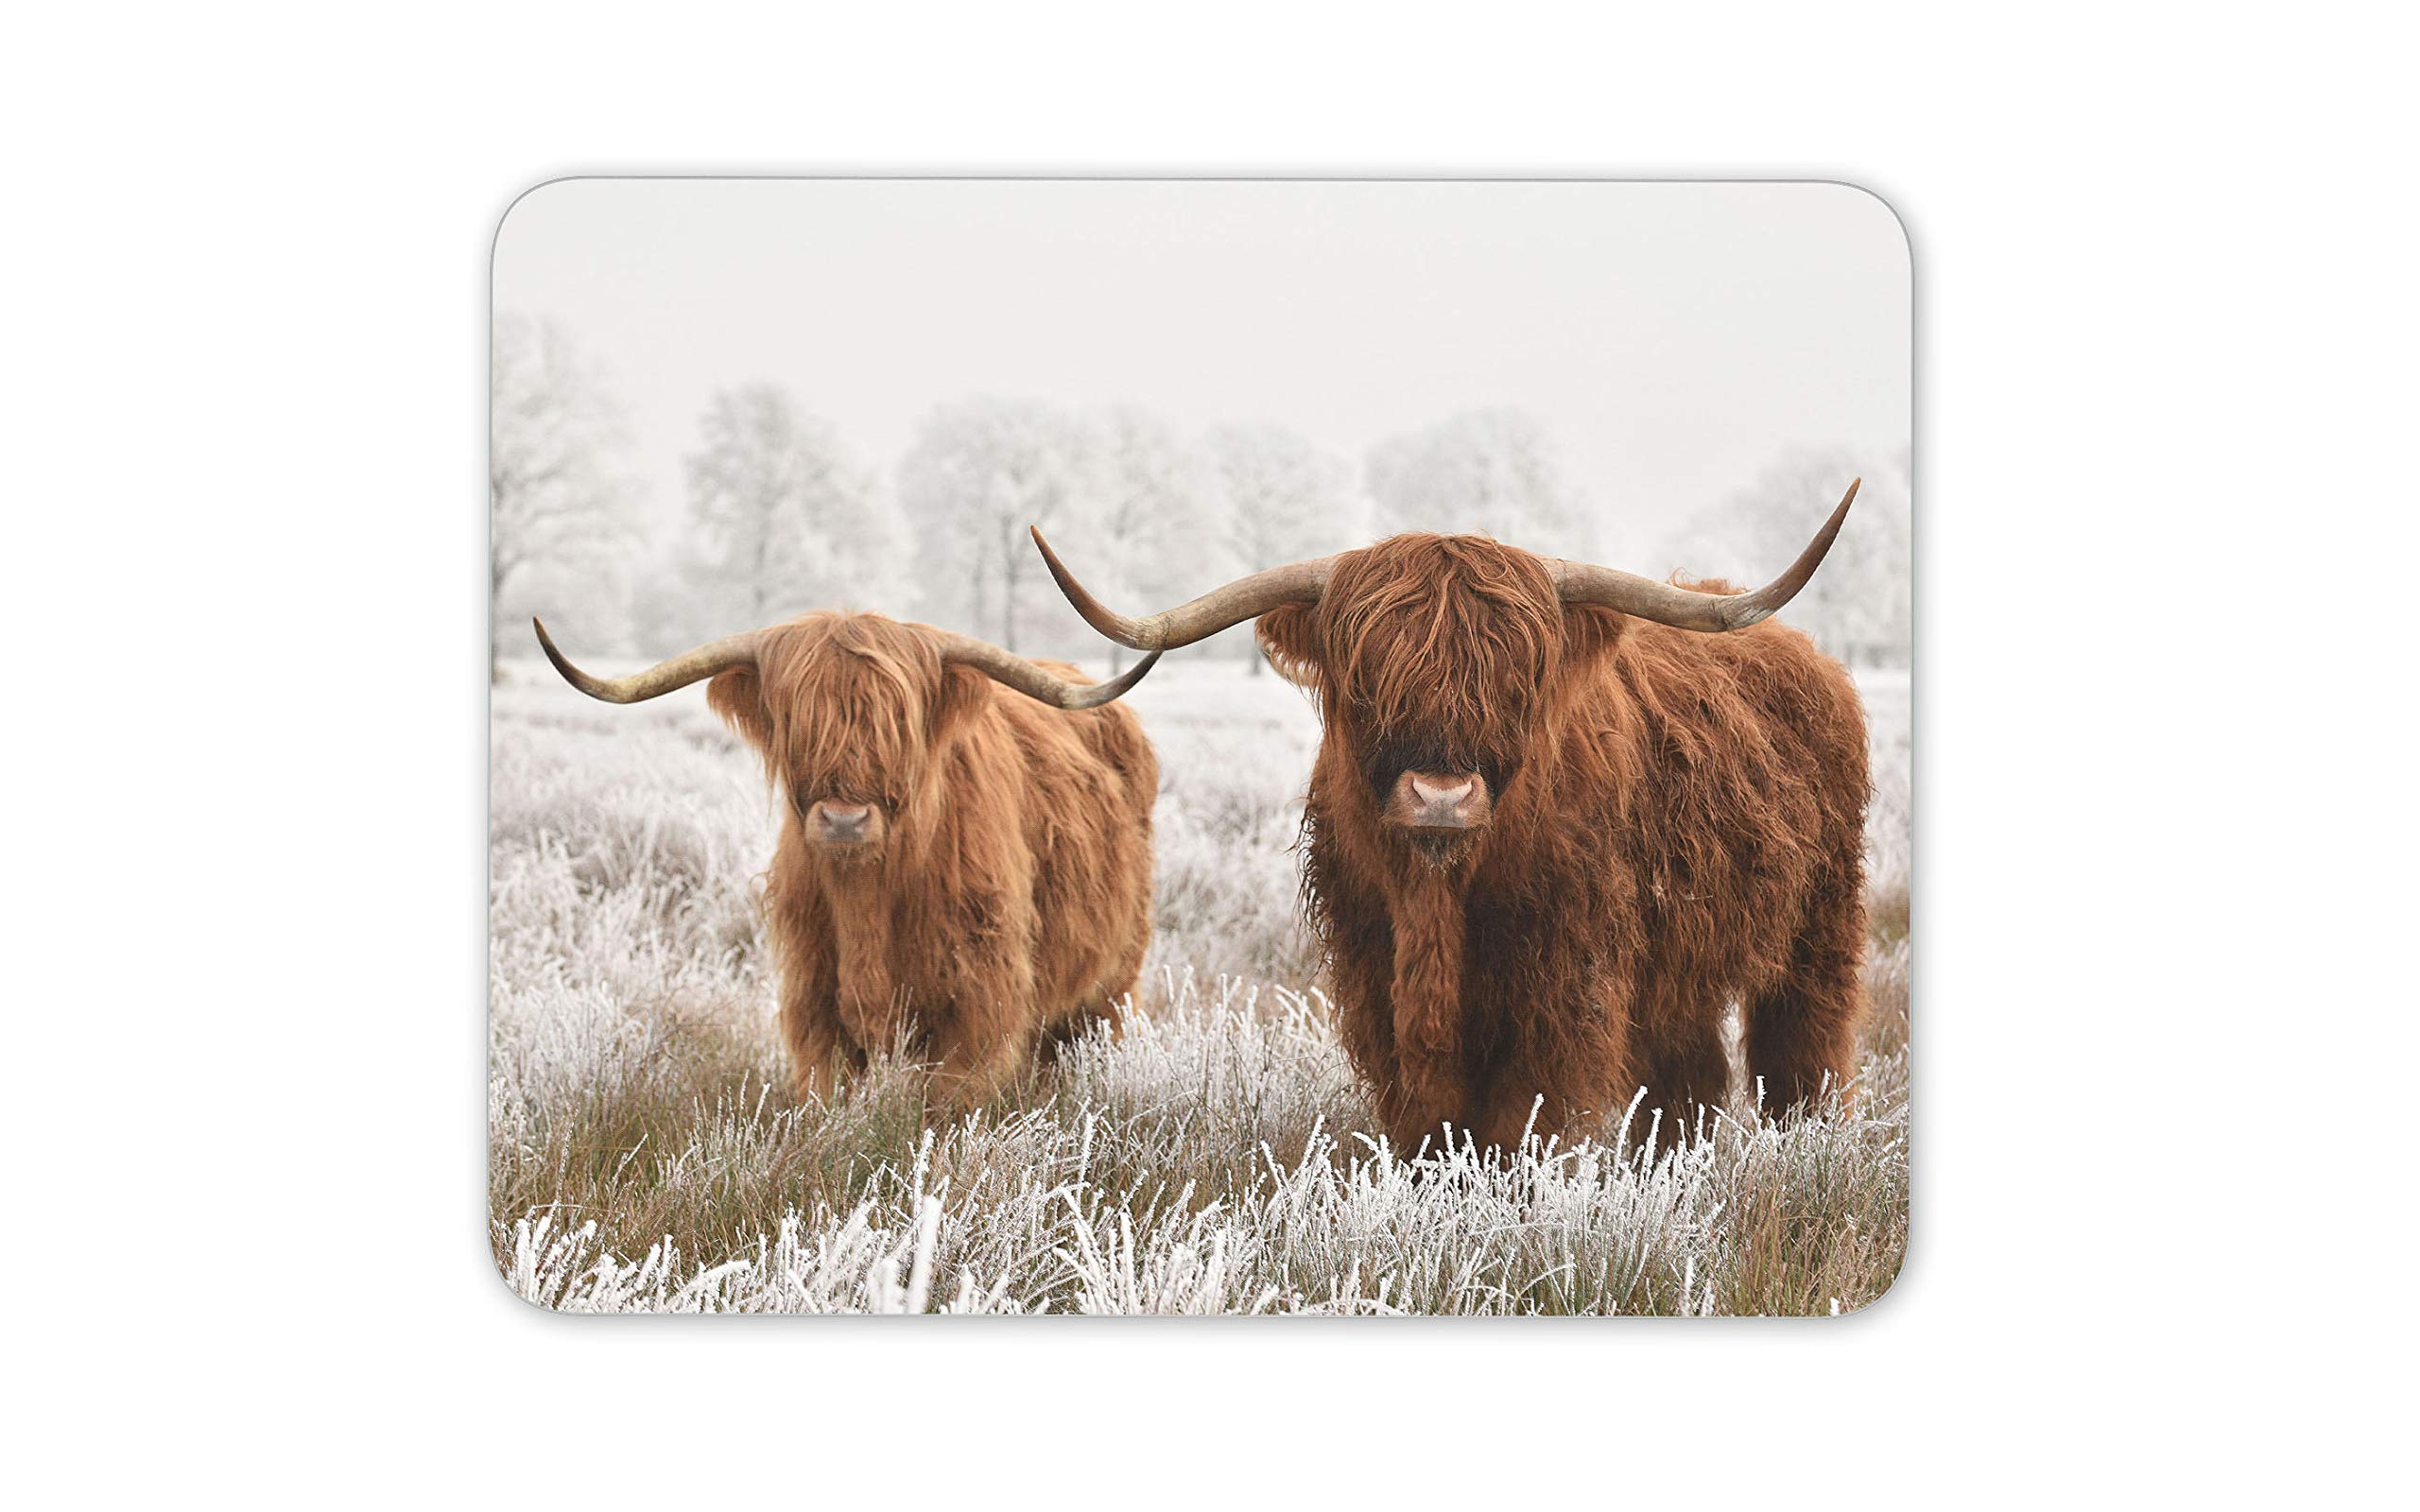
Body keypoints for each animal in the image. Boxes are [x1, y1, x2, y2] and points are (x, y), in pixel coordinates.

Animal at [533, 611, 1161, 1110]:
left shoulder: (978, 1003)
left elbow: (948, 1105)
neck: (867, 897)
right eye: (797, 721)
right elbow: (830, 1097)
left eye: (897, 724)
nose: (843, 820)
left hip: (1112, 980)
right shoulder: (814, 1000)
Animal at [1030, 481, 1868, 1153]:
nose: (1440, 796)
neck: (1437, 900)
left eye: (1517, 679)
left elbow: (1519, 1125)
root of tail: (1810, 658)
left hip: (1820, 924)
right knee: (1688, 1076)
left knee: (1802, 1049)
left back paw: (1805, 1149)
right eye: (1366, 678)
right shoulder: (1375, 978)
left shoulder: (1565, 987)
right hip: (1684, 965)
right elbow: (1426, 1124)